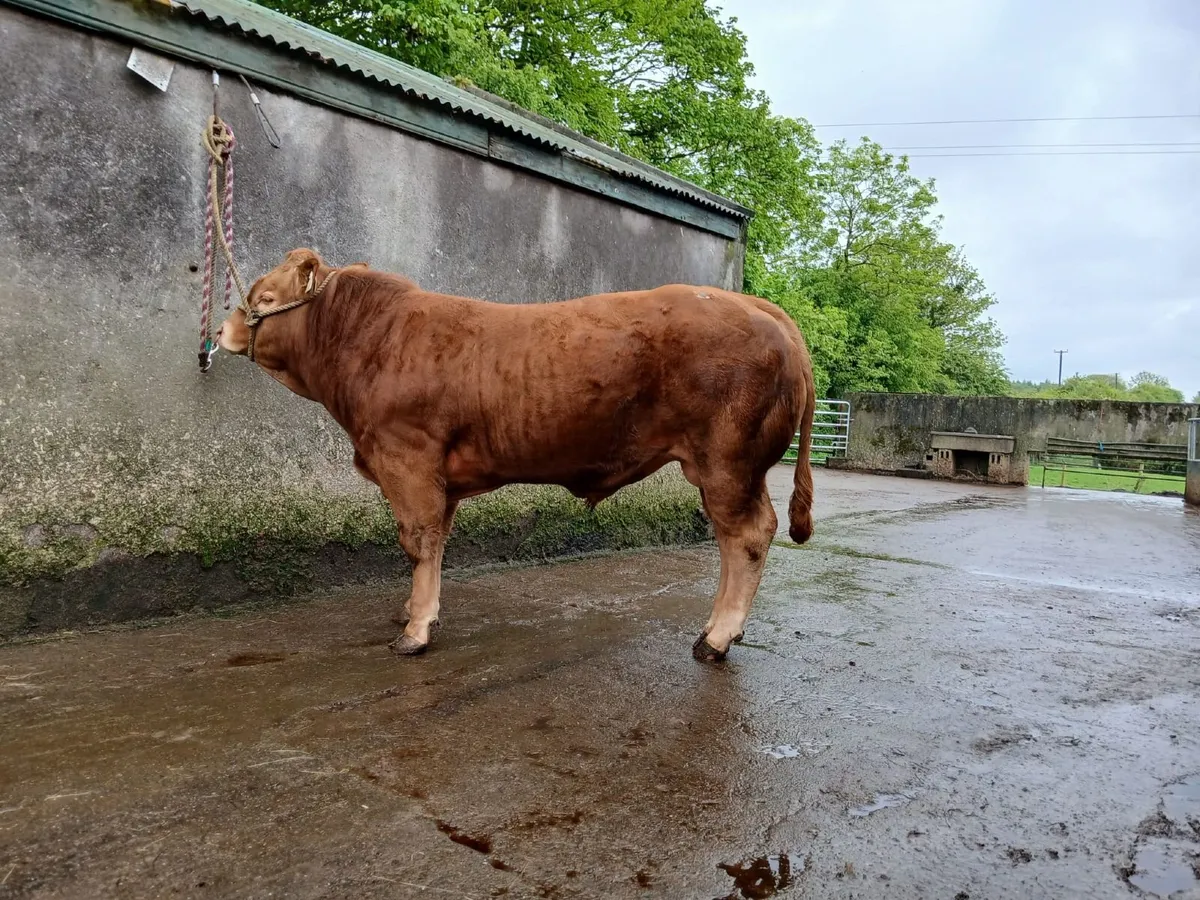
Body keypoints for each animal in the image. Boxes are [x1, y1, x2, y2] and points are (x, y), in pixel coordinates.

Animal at [216, 248, 816, 662]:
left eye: (263, 299)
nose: (222, 329)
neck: (369, 341)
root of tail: (753, 304)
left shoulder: (406, 458)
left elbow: (417, 541)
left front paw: (415, 631)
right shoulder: (439, 476)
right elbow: (436, 543)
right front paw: (417, 611)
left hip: (728, 463)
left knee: (746, 537)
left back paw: (716, 638)